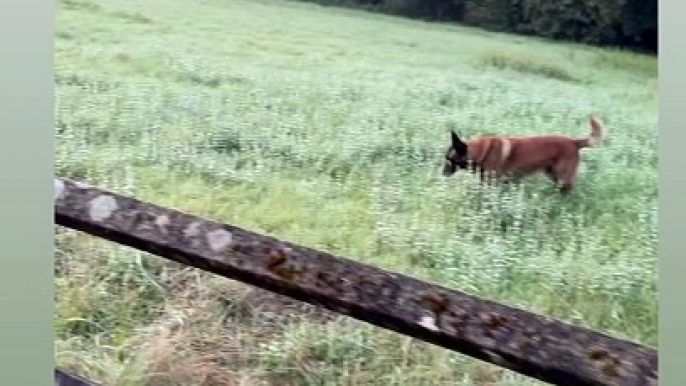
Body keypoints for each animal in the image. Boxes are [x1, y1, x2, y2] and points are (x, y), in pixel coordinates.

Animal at [444, 114, 604, 193]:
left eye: (449, 159)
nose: (442, 173)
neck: (480, 152)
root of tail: (573, 142)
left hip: (562, 178)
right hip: (552, 174)